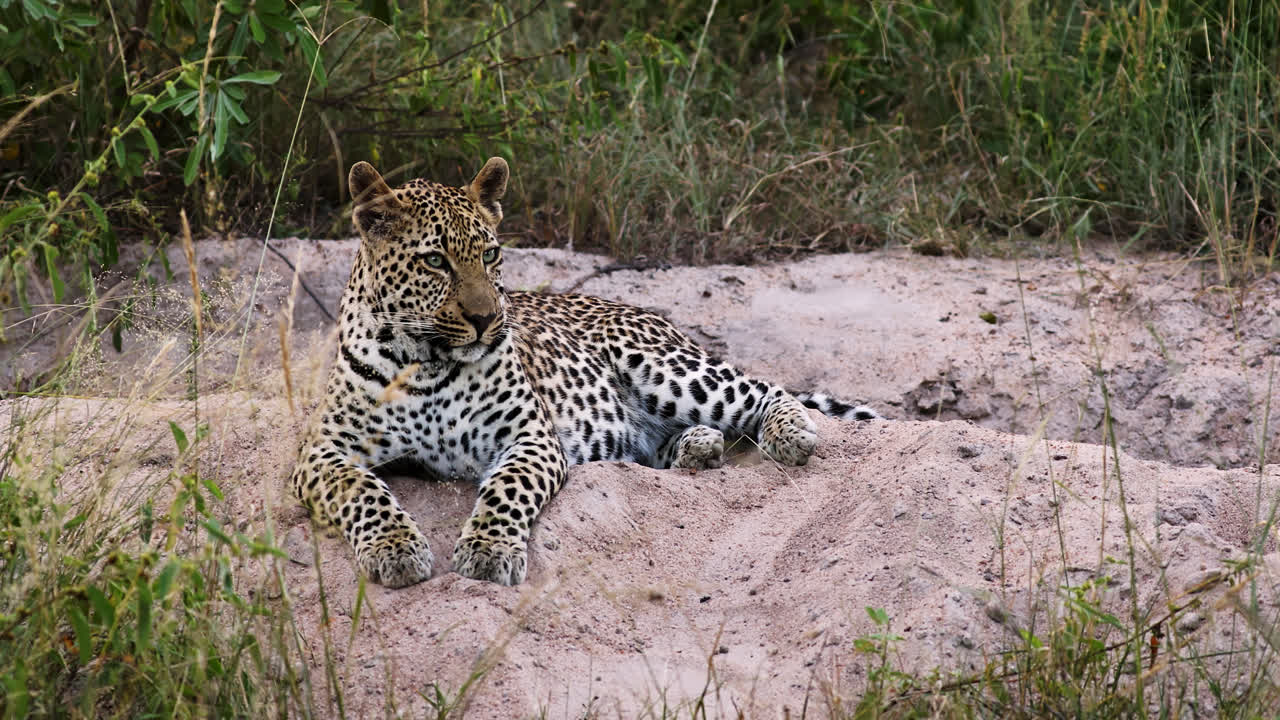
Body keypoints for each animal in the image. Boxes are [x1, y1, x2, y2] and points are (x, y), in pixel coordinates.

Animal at [290, 158, 879, 588]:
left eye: (491, 254)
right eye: (435, 261)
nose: (486, 319)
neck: (428, 361)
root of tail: (652, 317)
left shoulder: (529, 437)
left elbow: (505, 489)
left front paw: (488, 550)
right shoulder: (323, 450)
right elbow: (361, 490)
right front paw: (396, 549)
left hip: (663, 366)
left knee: (761, 387)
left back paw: (789, 432)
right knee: (662, 445)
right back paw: (698, 448)